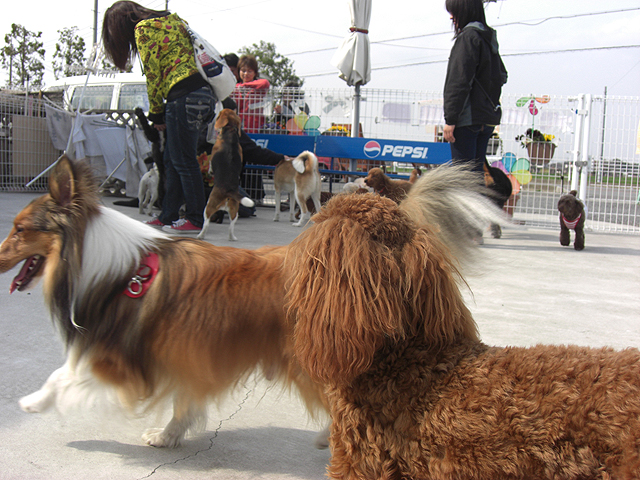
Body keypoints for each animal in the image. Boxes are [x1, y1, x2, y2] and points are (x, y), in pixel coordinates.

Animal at [0, 157, 328, 450]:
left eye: (20, 229)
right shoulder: (188, 354)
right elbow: (185, 401)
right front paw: (168, 436)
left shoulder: (118, 359)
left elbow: (63, 375)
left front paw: (33, 402)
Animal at [199, 108, 254, 240]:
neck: (231, 132)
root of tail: (229, 192)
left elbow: (210, 163)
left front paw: (209, 170)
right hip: (235, 211)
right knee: (231, 226)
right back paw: (232, 237)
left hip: (208, 206)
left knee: (206, 223)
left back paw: (200, 235)